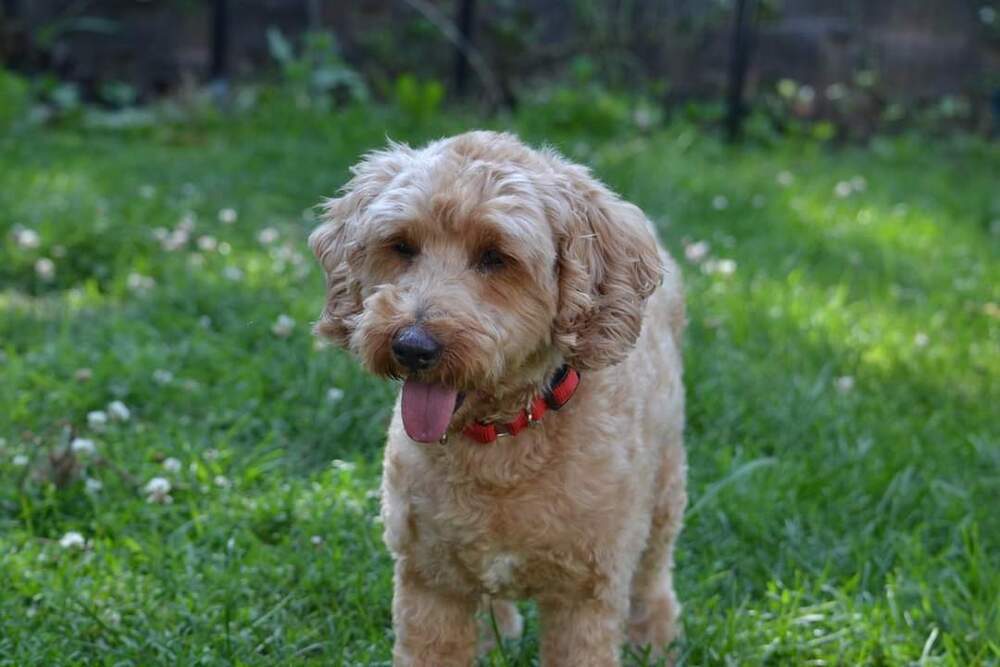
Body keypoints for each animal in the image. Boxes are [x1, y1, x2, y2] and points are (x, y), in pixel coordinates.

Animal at [312, 132, 688, 667]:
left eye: (496, 256)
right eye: (401, 246)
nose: (412, 346)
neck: (504, 436)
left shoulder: (586, 595)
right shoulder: (429, 583)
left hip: (665, 485)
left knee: (654, 567)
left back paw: (655, 638)